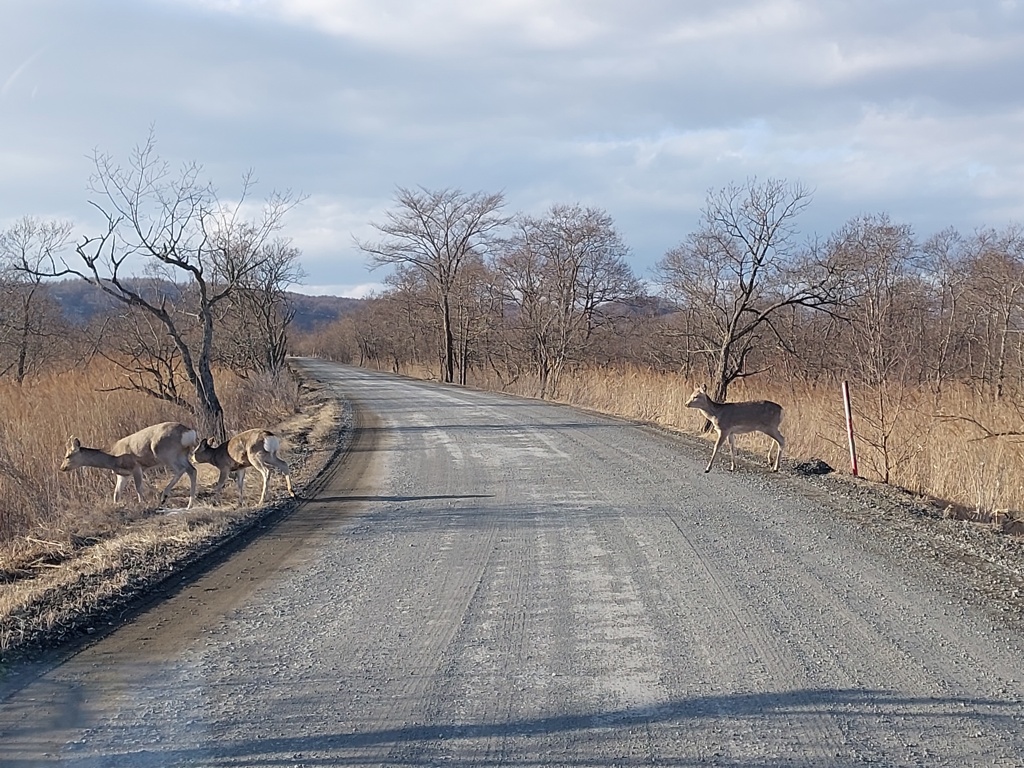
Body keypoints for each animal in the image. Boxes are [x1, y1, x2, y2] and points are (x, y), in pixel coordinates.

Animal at [60, 423, 199, 507]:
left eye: (67, 456)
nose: (62, 468)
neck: (113, 457)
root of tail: (188, 432)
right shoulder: (123, 475)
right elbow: (116, 493)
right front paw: (117, 506)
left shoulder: (135, 466)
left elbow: (138, 488)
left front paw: (142, 504)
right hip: (181, 454)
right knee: (192, 470)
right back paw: (190, 504)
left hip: (166, 453)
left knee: (181, 469)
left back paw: (164, 496)